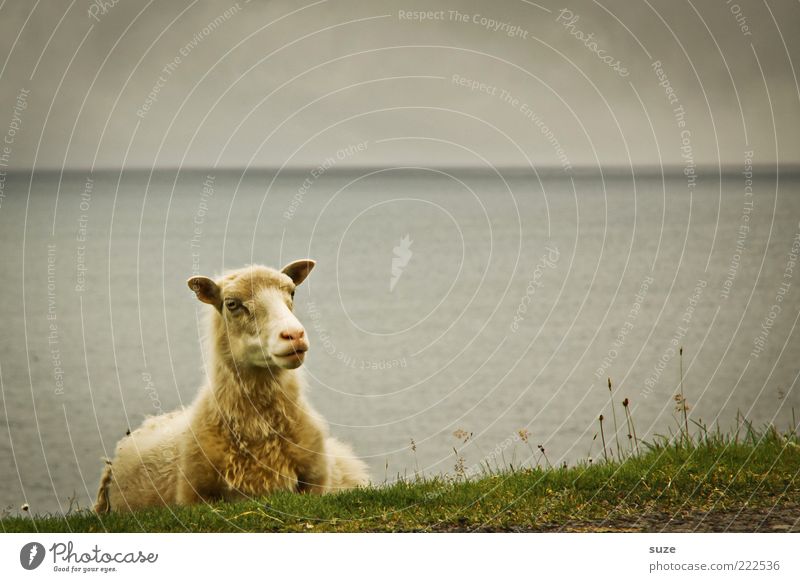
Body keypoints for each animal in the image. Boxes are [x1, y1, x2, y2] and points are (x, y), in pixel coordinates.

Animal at [95, 262, 370, 516]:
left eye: (292, 293)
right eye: (232, 304)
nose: (294, 335)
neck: (259, 434)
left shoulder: (316, 482)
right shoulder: (193, 496)